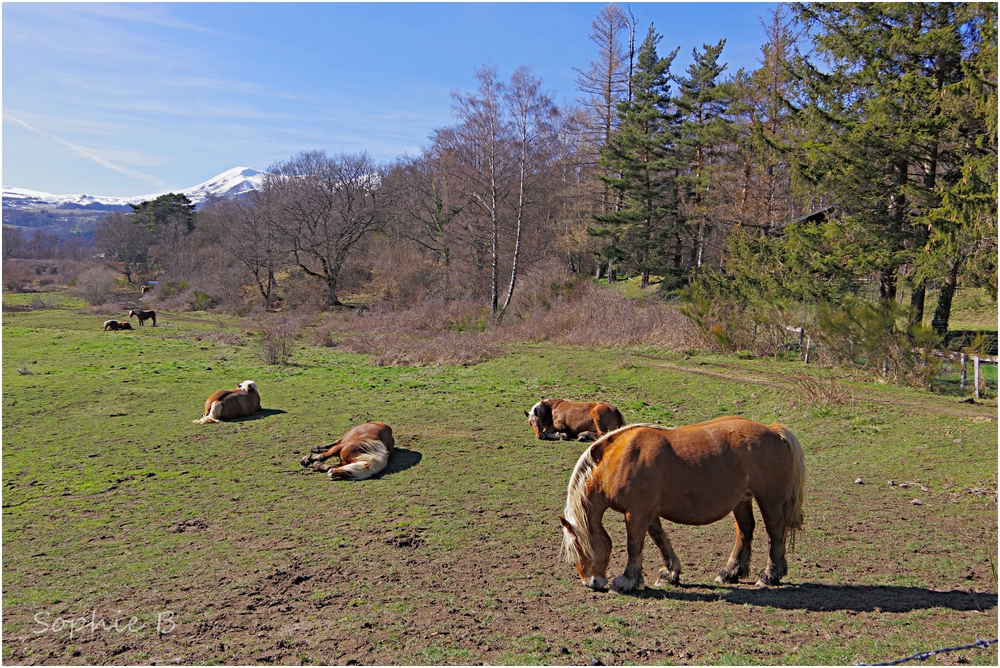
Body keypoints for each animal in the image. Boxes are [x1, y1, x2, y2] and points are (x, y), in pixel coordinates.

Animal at [564, 420, 804, 592]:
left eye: (577, 547)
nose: (591, 582)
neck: (619, 459)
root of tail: (773, 432)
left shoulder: (636, 514)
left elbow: (634, 546)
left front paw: (626, 581)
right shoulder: (649, 514)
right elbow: (660, 540)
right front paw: (670, 574)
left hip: (770, 500)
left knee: (776, 533)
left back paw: (769, 575)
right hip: (742, 501)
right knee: (745, 532)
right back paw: (730, 572)